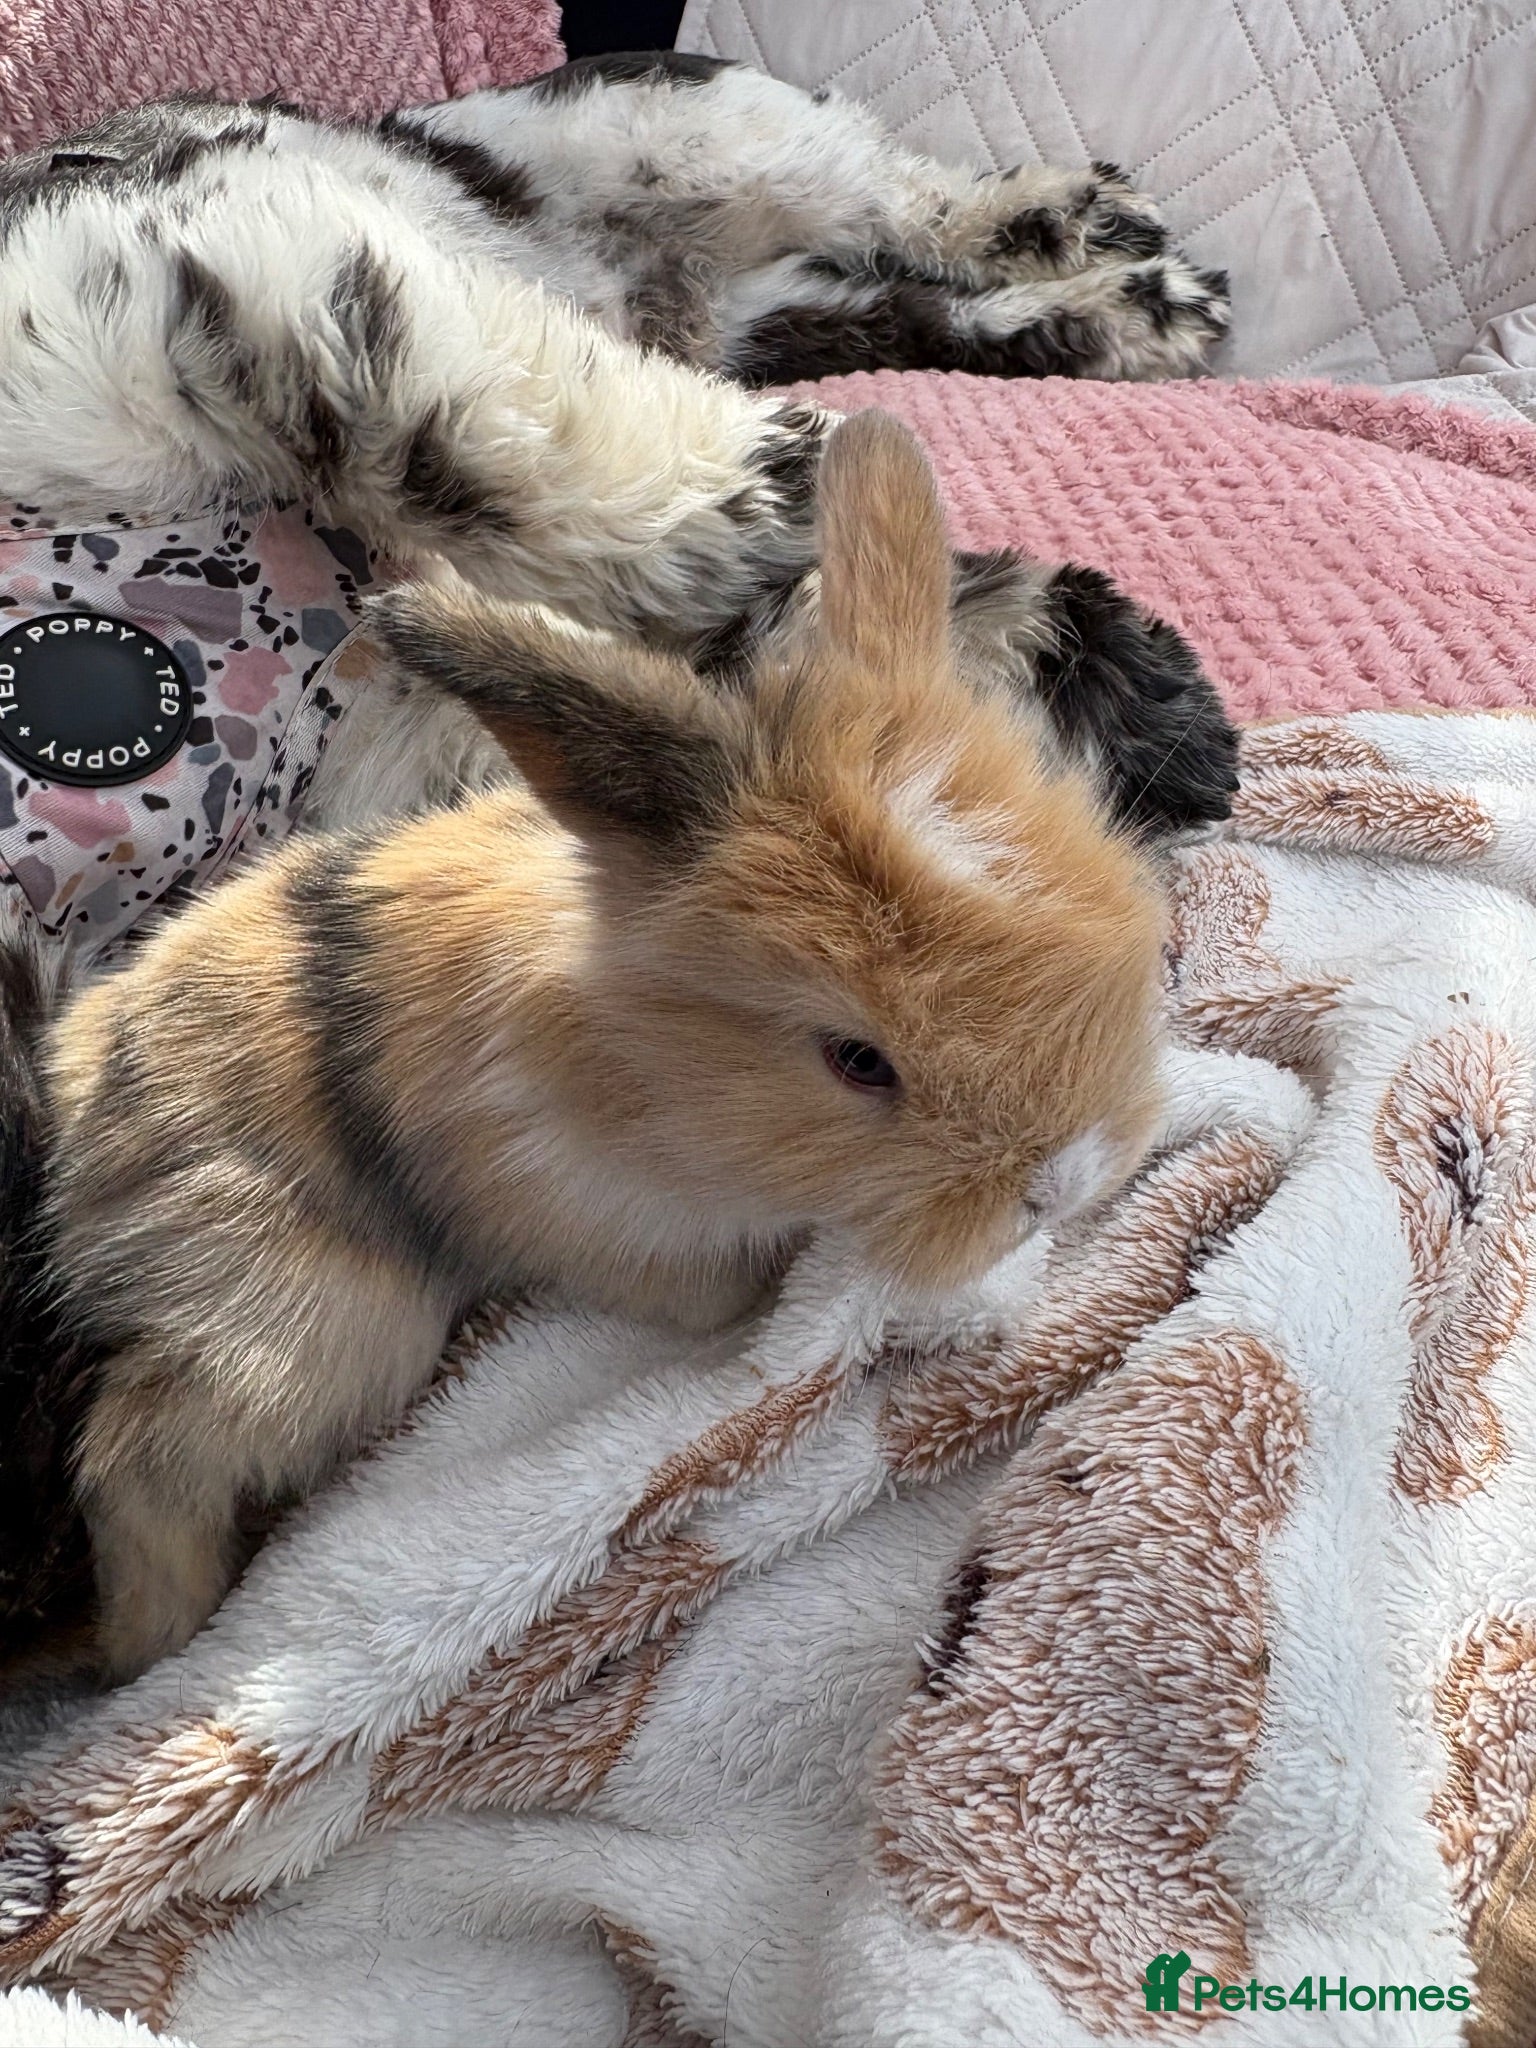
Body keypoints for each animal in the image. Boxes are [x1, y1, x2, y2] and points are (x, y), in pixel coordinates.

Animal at [43, 413, 1170, 1682]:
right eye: (857, 1059)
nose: (1064, 1179)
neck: (651, 1064)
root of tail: (81, 1101)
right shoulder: (620, 1226)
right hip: (309, 1321)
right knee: (142, 1450)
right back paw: (159, 1639)